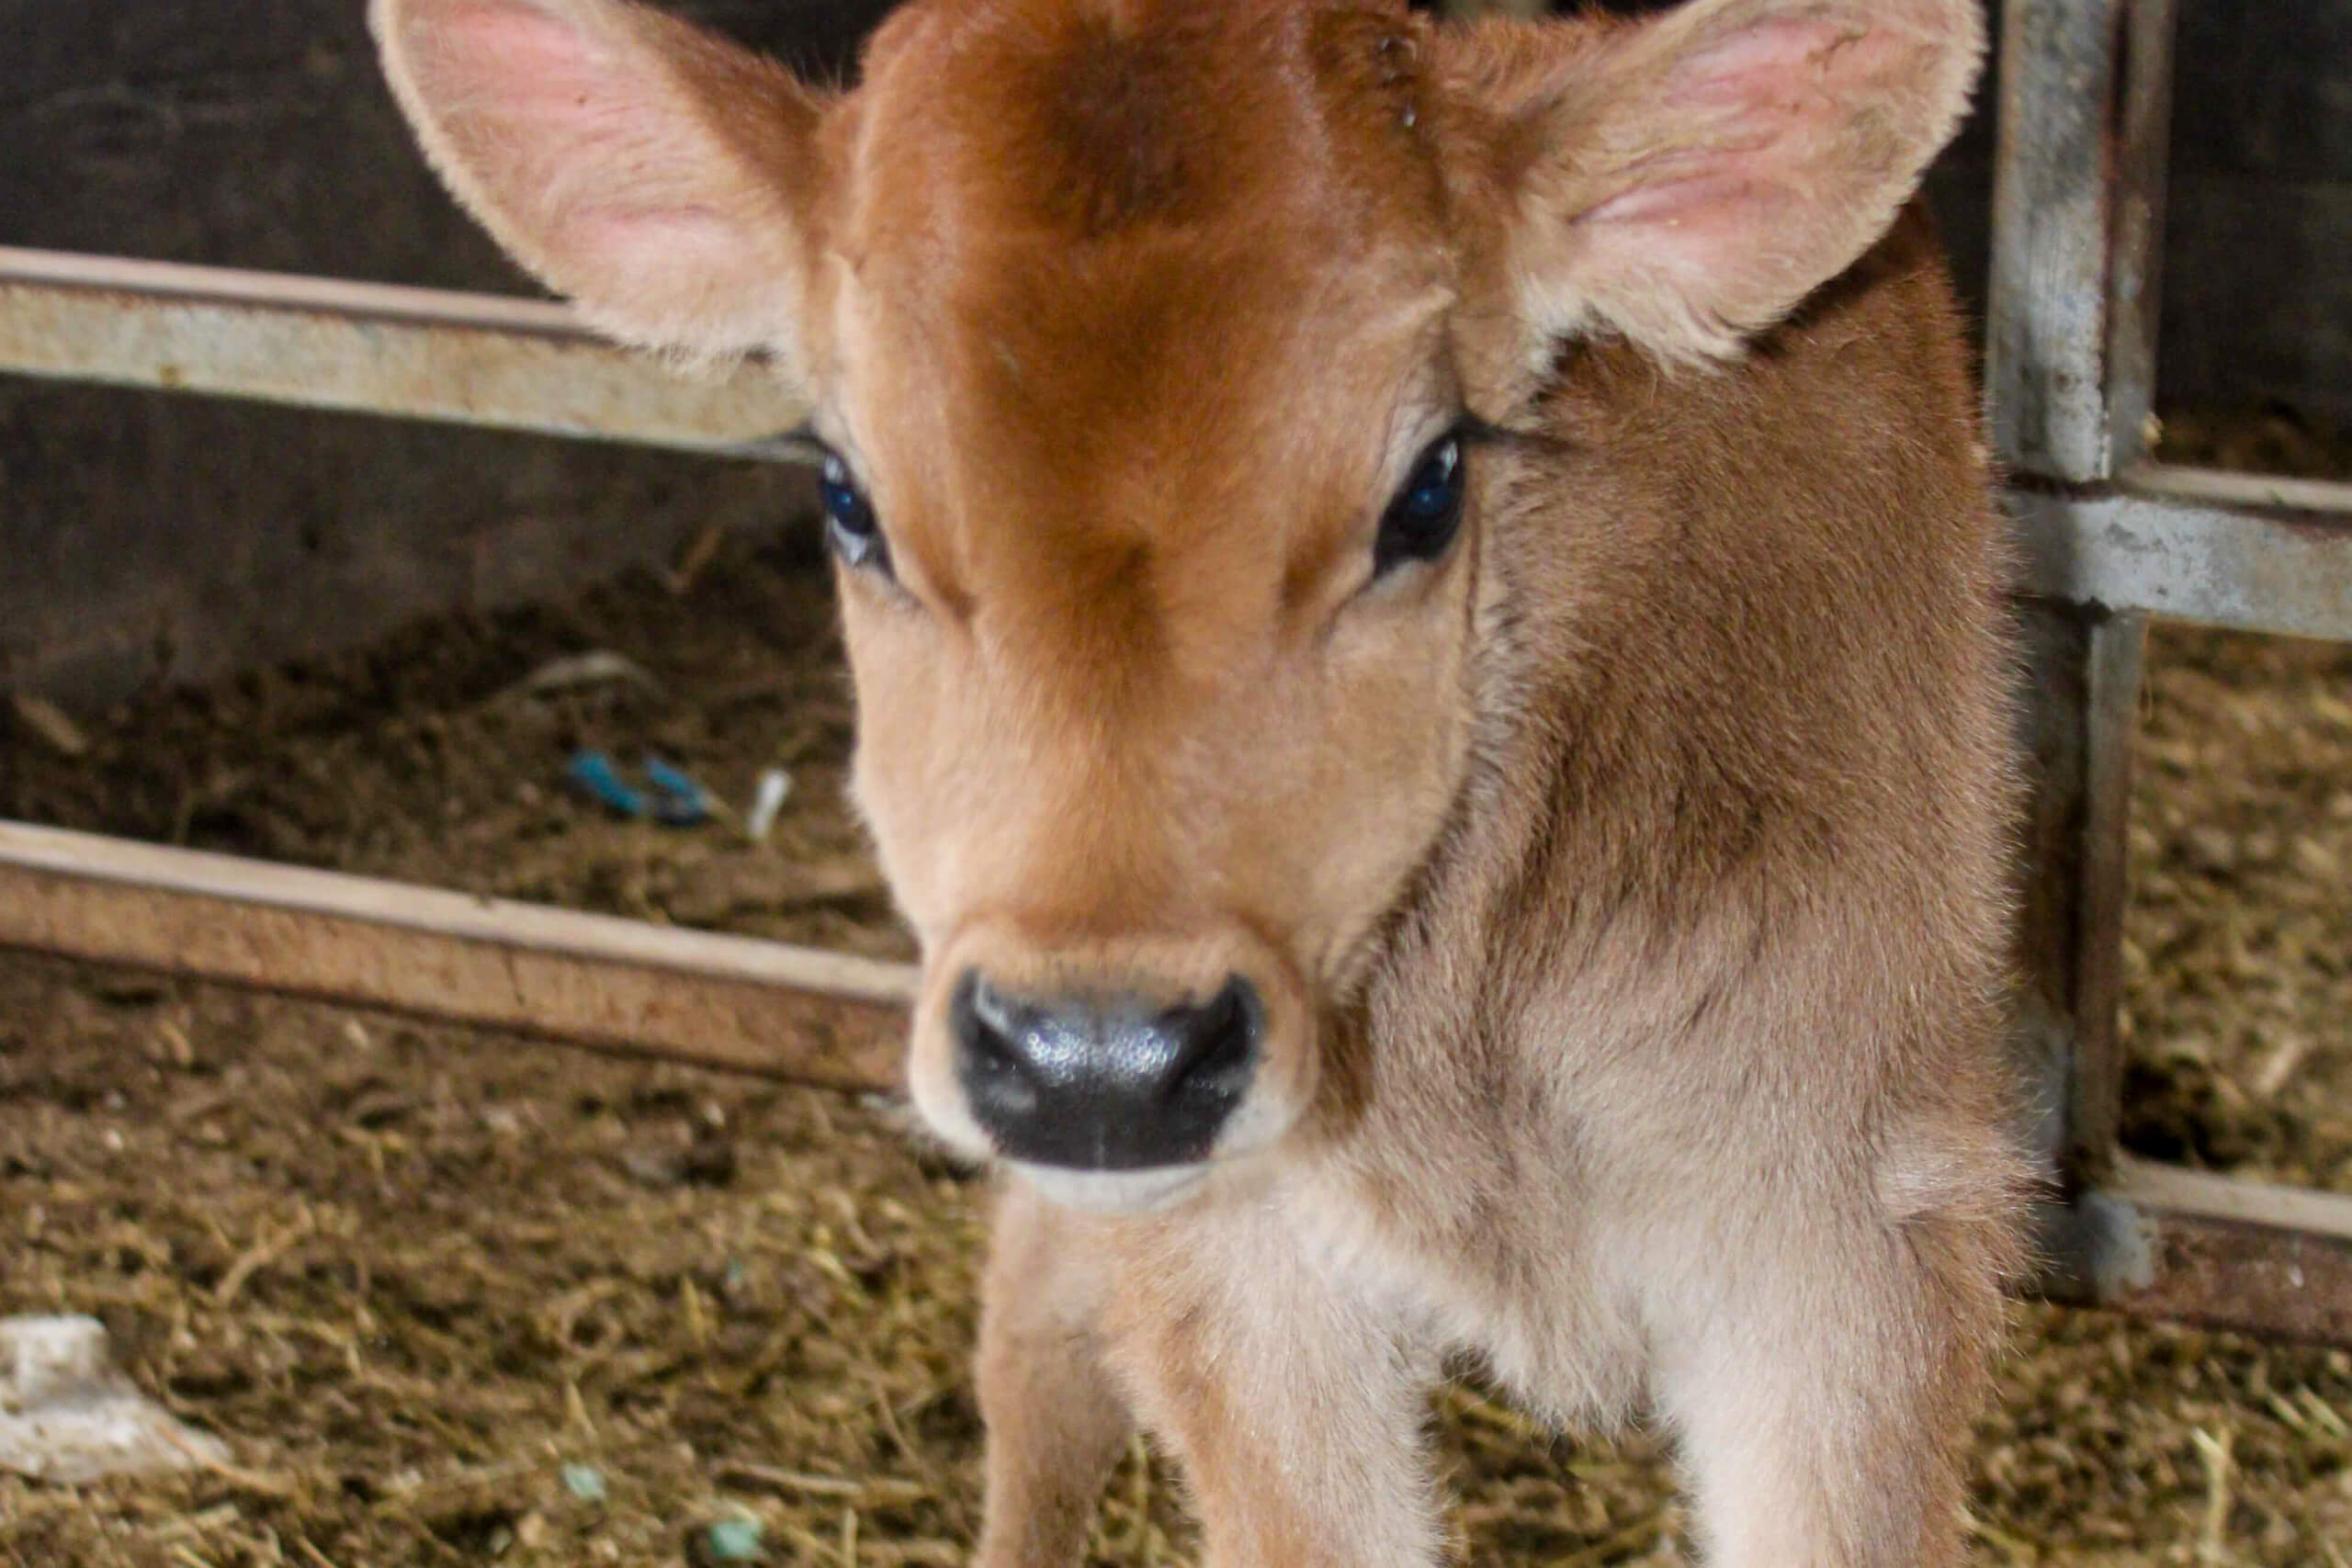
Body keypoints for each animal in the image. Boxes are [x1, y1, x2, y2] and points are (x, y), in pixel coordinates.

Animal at [372, 0, 2028, 1560]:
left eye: (1430, 488)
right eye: (846, 498)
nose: (1099, 1056)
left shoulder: (1850, 1225)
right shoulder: (1229, 1259)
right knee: (1032, 1383)